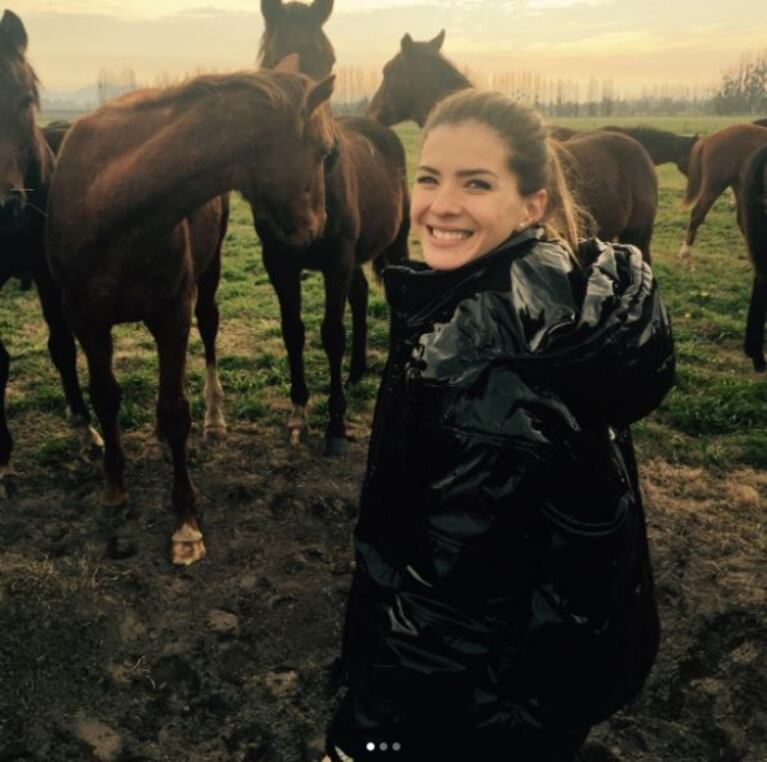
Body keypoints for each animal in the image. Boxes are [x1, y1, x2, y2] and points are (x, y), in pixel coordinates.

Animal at [46, 59, 338, 560]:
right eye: (323, 150)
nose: (314, 227)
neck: (110, 200)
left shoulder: (172, 317)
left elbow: (175, 410)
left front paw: (185, 522)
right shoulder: (86, 321)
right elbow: (105, 397)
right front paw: (114, 489)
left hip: (206, 283)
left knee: (209, 333)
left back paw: (214, 419)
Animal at [260, 0, 414, 452]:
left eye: (328, 60)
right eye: (273, 60)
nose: (325, 153)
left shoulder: (336, 259)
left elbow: (331, 333)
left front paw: (335, 424)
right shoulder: (279, 263)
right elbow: (293, 330)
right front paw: (298, 413)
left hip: (393, 244)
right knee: (360, 294)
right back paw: (358, 368)